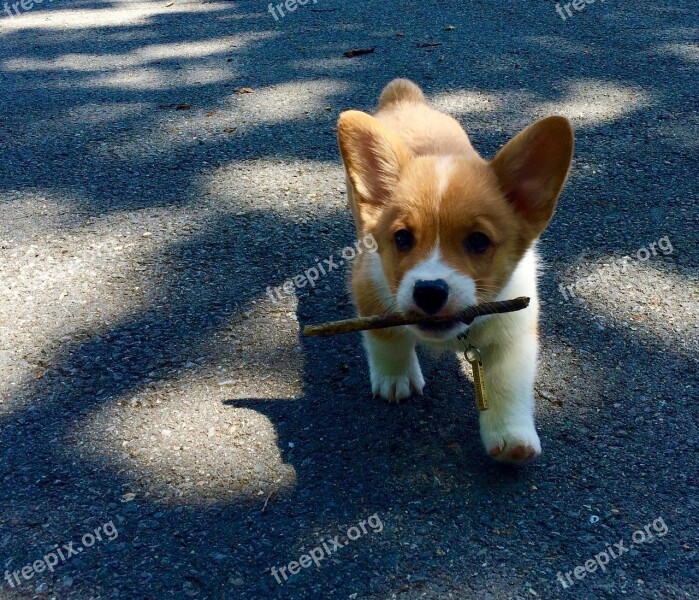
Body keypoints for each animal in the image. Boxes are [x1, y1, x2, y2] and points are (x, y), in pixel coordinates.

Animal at [340, 79, 576, 464]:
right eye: (402, 238)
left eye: (478, 241)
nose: (429, 291)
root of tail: (403, 97)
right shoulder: (369, 288)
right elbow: (386, 339)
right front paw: (396, 379)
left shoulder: (515, 328)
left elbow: (507, 384)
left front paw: (511, 437)